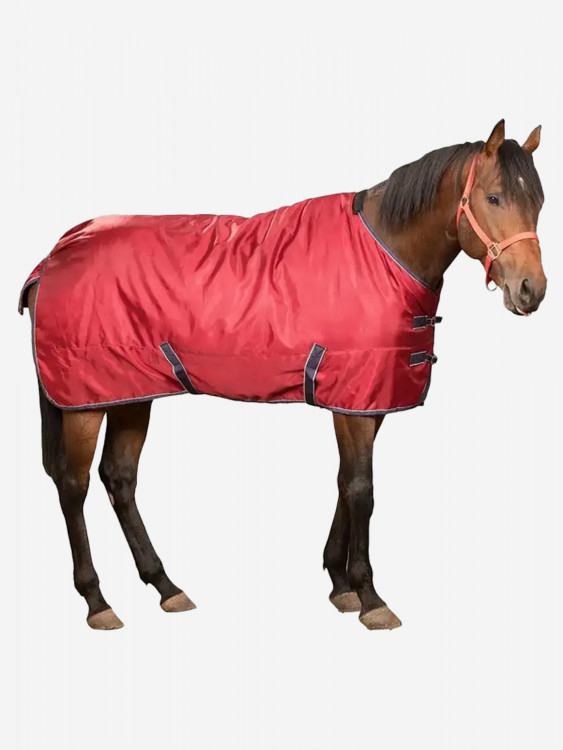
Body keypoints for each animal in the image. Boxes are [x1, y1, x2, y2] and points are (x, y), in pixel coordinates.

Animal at [20, 120, 547, 630]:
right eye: (494, 197)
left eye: (539, 201)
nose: (532, 290)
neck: (384, 252)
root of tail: (53, 256)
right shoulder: (352, 401)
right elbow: (362, 490)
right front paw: (370, 597)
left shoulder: (364, 401)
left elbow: (344, 483)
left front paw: (340, 584)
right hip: (84, 403)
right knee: (74, 485)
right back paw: (97, 600)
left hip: (129, 392)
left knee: (120, 478)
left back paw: (166, 587)